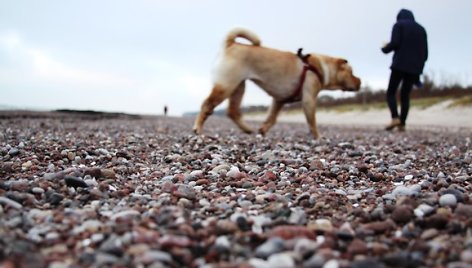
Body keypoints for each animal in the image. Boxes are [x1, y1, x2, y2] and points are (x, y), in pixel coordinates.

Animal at [192, 28, 362, 138]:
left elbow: (272, 118)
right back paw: (198, 129)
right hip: (226, 86)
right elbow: (312, 121)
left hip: (238, 86)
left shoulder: (278, 100)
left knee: (233, 111)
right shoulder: (309, 100)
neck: (319, 66)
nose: (359, 81)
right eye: (352, 72)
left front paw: (264, 129)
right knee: (207, 105)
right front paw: (318, 137)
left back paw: (247, 129)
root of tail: (231, 44)